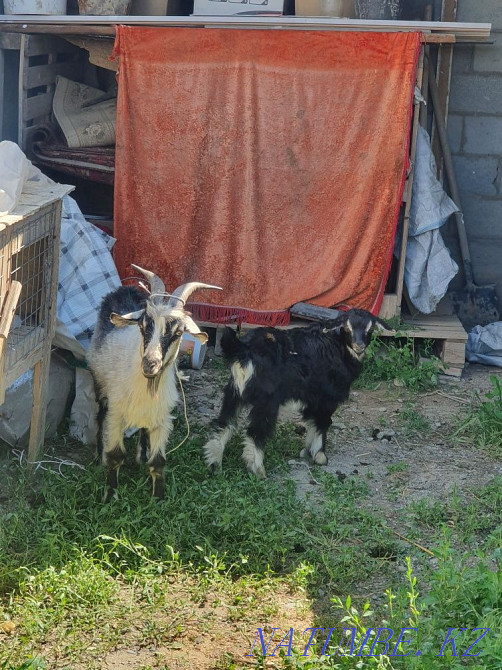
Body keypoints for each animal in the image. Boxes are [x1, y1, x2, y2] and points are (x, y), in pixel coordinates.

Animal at [88, 265, 221, 501]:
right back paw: (98, 456)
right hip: (100, 383)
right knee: (100, 414)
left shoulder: (162, 418)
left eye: (178, 332)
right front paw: (109, 495)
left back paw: (141, 455)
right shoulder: (116, 414)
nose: (150, 364)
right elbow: (115, 455)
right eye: (142, 326)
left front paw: (158, 498)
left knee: (142, 428)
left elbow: (158, 462)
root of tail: (126, 288)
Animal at [203, 308, 389, 478]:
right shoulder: (327, 398)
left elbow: (312, 421)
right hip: (267, 400)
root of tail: (244, 350)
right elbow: (323, 423)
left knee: (223, 423)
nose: (359, 346)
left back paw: (214, 464)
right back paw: (258, 470)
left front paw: (308, 450)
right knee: (256, 431)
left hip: (234, 391)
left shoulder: (313, 399)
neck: (338, 346)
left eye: (370, 330)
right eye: (347, 328)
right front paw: (320, 456)